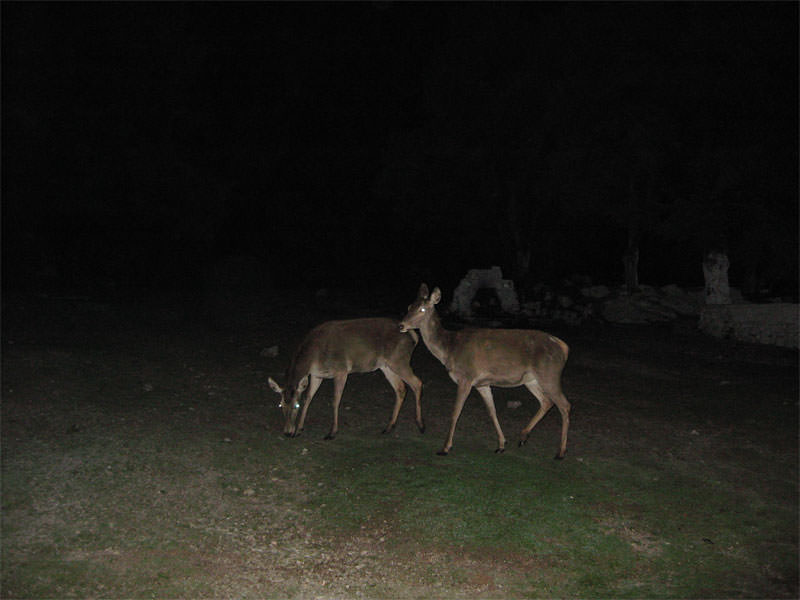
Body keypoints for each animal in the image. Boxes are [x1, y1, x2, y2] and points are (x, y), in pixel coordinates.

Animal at [268, 318, 424, 440]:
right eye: (281, 405)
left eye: (296, 405)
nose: (287, 432)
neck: (313, 358)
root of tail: (413, 337)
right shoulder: (317, 374)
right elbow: (308, 398)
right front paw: (300, 429)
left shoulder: (341, 370)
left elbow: (335, 401)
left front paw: (331, 432)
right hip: (386, 365)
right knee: (401, 388)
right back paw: (389, 427)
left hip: (399, 360)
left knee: (417, 383)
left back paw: (420, 424)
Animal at [400, 284, 568, 458]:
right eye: (409, 306)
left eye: (423, 309)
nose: (401, 325)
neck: (449, 349)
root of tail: (563, 347)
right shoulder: (482, 384)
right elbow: (492, 411)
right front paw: (501, 444)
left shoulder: (466, 377)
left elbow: (455, 412)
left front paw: (445, 447)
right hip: (531, 379)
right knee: (547, 401)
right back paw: (523, 437)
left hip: (549, 374)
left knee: (565, 405)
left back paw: (561, 452)